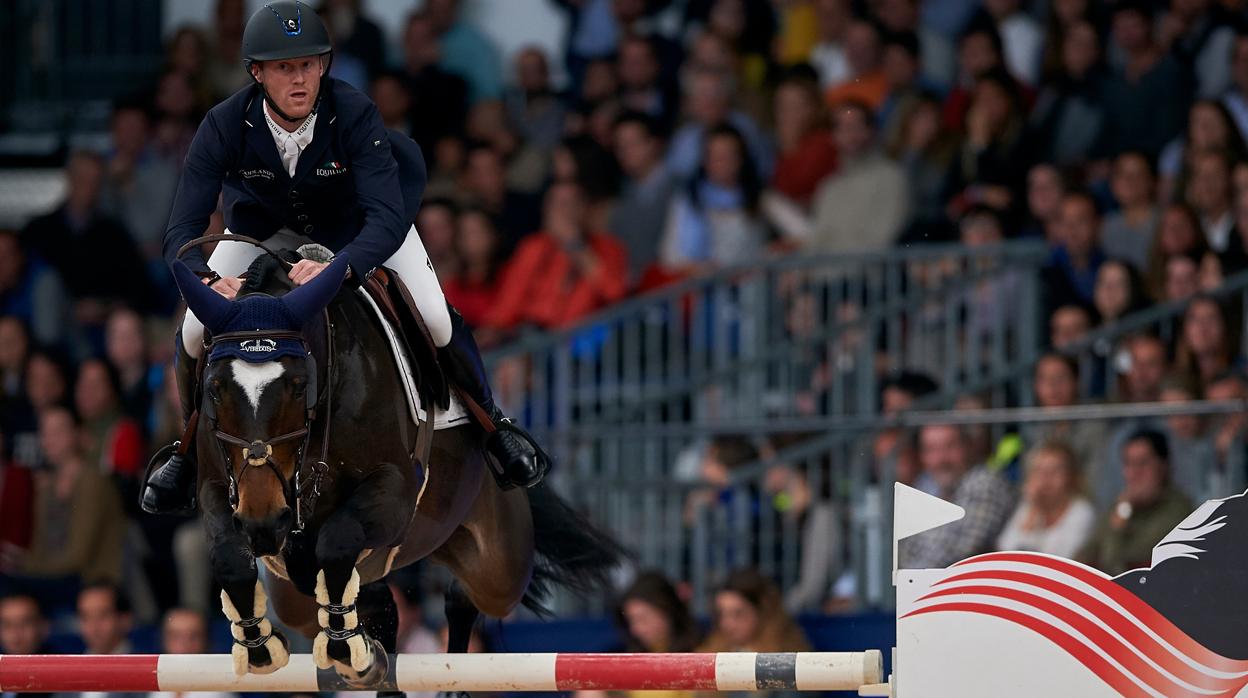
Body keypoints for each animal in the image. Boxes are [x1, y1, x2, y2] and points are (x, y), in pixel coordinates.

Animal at [168, 238, 624, 689]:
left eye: (299, 386)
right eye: (214, 387)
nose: (263, 523)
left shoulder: (396, 491)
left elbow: (337, 540)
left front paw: (343, 646)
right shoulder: (220, 489)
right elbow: (232, 557)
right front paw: (260, 647)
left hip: (499, 563)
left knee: (468, 595)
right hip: (295, 593)